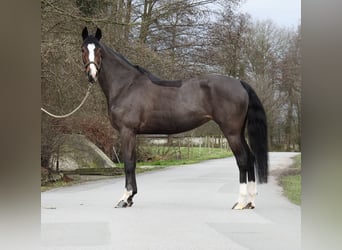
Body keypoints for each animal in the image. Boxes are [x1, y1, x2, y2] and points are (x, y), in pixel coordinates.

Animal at [81, 26, 268, 209]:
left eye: (98, 50)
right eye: (83, 49)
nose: (91, 75)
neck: (126, 85)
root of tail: (239, 83)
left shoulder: (127, 131)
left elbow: (128, 163)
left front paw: (125, 198)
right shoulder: (132, 134)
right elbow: (132, 162)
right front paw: (131, 197)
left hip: (231, 132)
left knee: (243, 160)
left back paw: (240, 202)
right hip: (239, 132)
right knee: (251, 158)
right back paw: (250, 201)